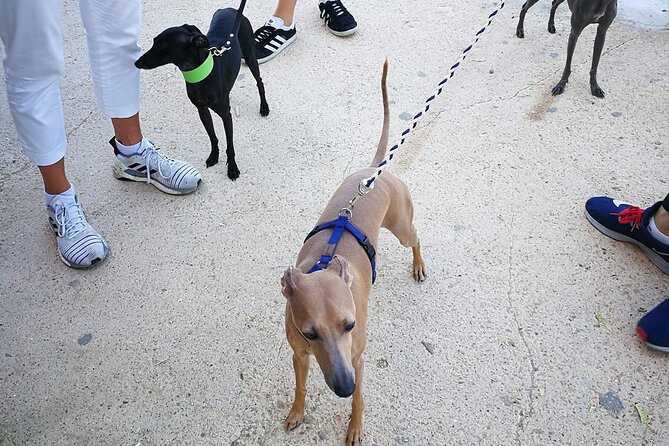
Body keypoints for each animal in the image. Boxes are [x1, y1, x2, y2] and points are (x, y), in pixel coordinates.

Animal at [133, 2, 268, 179]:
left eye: (161, 45)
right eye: (154, 42)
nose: (136, 63)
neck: (200, 76)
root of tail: (230, 9)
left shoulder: (226, 115)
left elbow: (230, 145)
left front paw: (232, 167)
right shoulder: (202, 110)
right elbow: (213, 137)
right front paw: (214, 156)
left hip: (250, 55)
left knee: (260, 82)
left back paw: (264, 107)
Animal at [280, 60, 426, 446]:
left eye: (350, 324)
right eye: (310, 333)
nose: (343, 387)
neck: (323, 264)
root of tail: (374, 170)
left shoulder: (357, 359)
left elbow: (360, 399)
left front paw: (355, 427)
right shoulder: (299, 354)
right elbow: (300, 387)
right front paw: (297, 412)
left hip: (402, 227)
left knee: (416, 237)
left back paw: (419, 265)